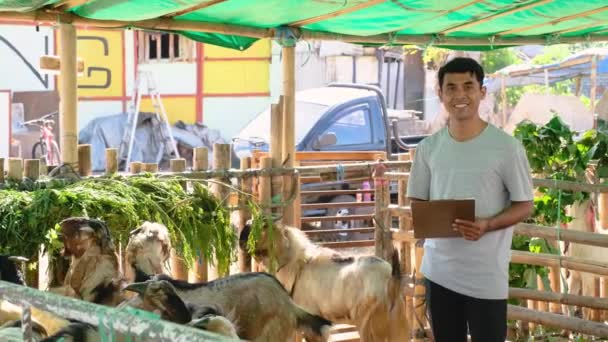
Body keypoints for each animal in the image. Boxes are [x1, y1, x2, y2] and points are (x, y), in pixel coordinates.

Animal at [239, 220, 408, 340]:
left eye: (264, 225)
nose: (241, 237)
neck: (298, 266)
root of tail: (391, 282)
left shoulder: (315, 324)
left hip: (369, 327)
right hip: (396, 329)